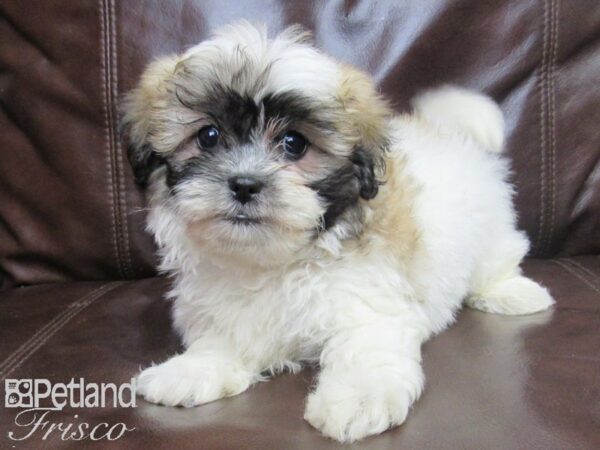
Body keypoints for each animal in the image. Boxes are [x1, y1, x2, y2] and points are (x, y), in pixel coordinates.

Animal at [124, 22, 556, 442]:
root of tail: (447, 132)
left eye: (294, 143)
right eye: (208, 136)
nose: (245, 184)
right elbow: (224, 338)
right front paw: (191, 370)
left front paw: (358, 400)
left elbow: (364, 351)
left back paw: (513, 293)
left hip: (491, 231)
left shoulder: (369, 305)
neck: (274, 262)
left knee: (500, 258)